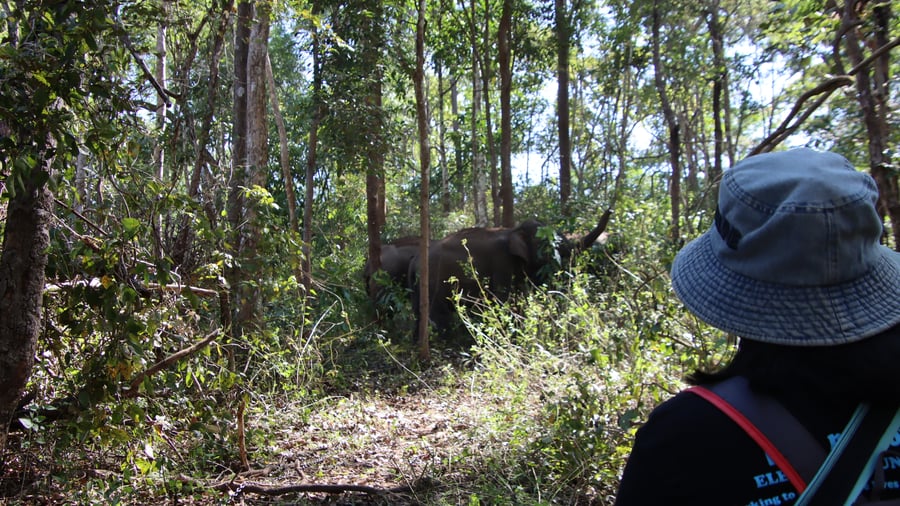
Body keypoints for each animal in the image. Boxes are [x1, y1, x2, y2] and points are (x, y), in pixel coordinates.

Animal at [409, 209, 613, 340]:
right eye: (548, 243)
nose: (610, 209)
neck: (514, 230)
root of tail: (415, 260)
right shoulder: (502, 262)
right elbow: (501, 299)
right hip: (433, 283)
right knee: (439, 315)